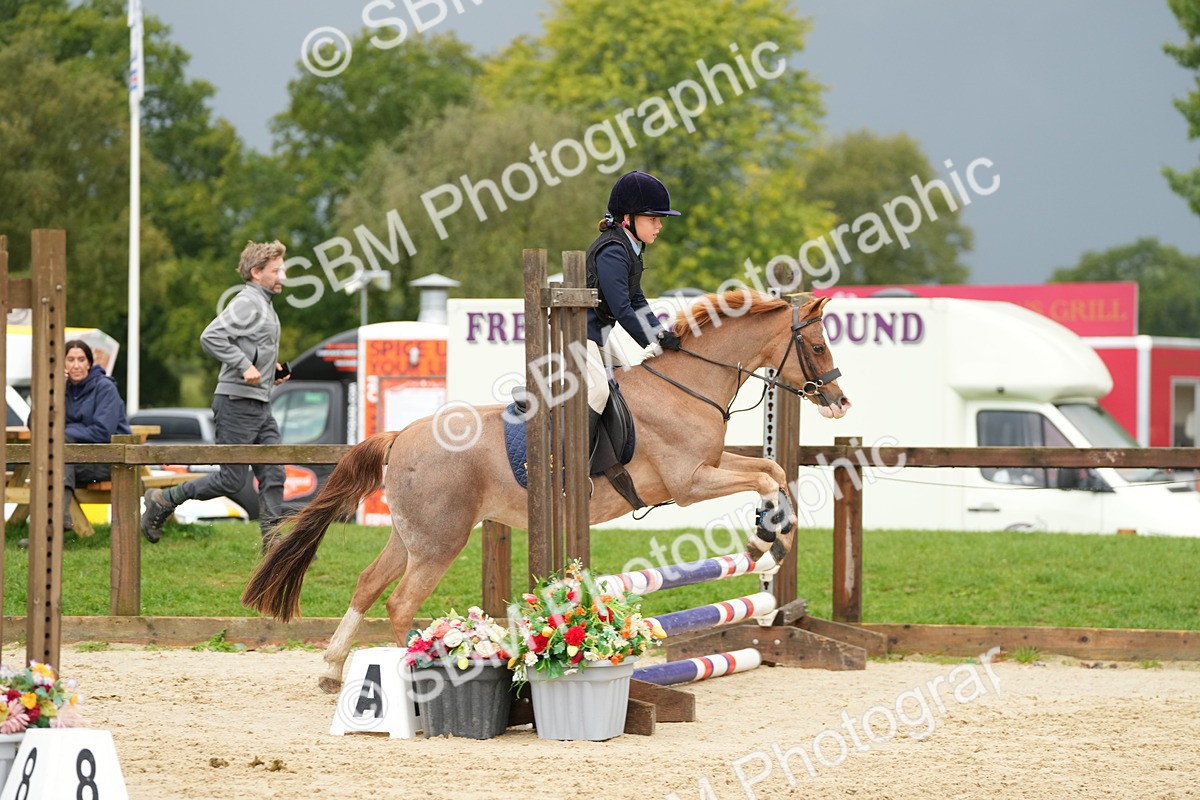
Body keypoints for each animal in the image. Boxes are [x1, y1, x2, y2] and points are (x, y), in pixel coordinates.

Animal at [242, 290, 850, 692]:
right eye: (818, 345)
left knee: (369, 585)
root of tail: (401, 435)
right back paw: (422, 673)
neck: (687, 385)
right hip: (440, 542)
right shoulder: (690, 481)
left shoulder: (710, 464)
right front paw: (765, 539)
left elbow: (772, 466)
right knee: (400, 601)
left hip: (411, 535)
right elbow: (766, 475)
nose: (839, 403)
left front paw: (770, 539)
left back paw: (330, 669)